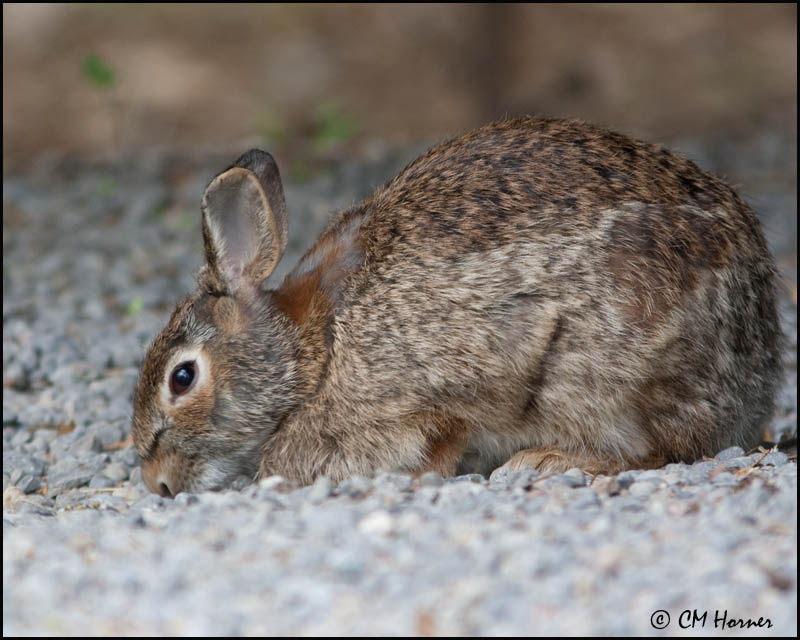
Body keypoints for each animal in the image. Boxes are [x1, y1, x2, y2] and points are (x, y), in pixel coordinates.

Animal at [131, 117, 780, 498]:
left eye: (182, 378)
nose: (157, 483)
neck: (312, 354)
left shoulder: (426, 399)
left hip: (605, 371)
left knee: (666, 449)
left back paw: (543, 463)